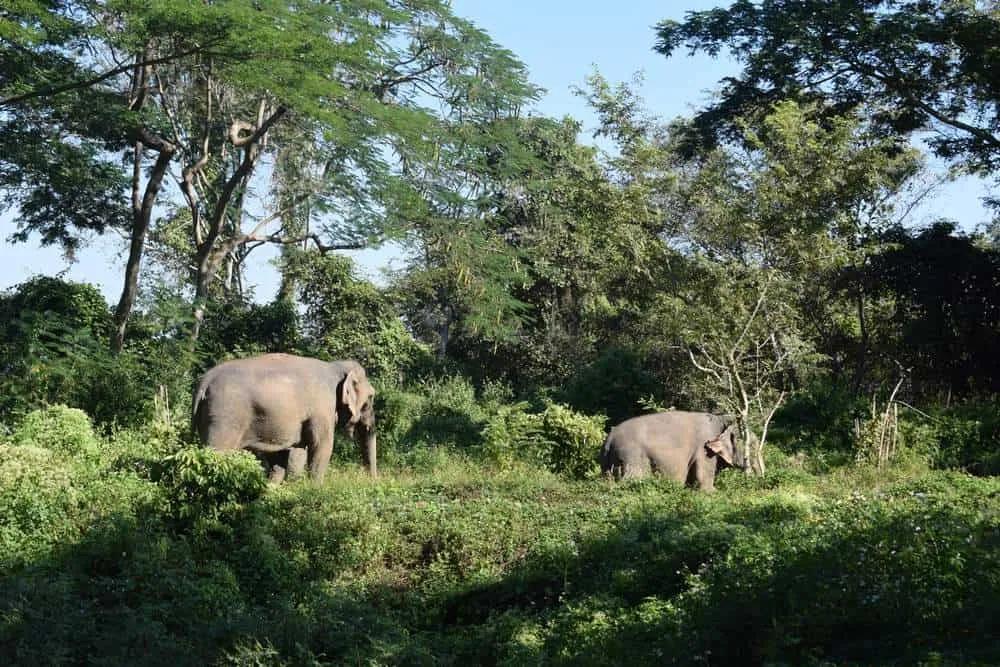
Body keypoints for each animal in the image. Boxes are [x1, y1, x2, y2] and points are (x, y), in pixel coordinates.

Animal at [192, 353, 377, 482]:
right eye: (371, 397)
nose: (372, 481)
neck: (335, 366)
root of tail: (205, 380)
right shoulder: (322, 409)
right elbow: (321, 445)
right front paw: (314, 487)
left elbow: (290, 453)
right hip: (225, 416)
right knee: (218, 453)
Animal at [599, 411, 744, 491]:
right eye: (742, 439)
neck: (721, 419)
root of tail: (609, 438)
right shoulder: (704, 447)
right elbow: (704, 473)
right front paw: (713, 492)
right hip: (631, 456)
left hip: (607, 464)